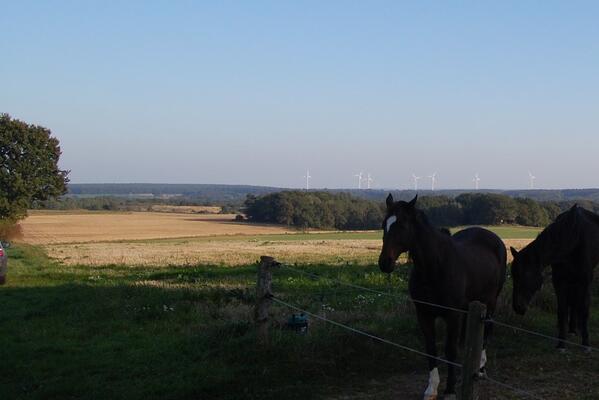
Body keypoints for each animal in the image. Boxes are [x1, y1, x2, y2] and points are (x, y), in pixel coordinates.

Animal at [380, 195, 506, 400]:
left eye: (403, 226)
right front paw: (431, 388)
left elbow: (450, 350)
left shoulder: (452, 315)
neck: (434, 268)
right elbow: (431, 349)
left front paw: (450, 389)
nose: (385, 263)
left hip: (490, 302)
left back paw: (480, 368)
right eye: (384, 224)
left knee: (487, 329)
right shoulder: (424, 314)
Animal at [510, 205, 599, 352]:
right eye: (513, 276)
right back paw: (572, 329)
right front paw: (561, 343)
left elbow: (584, 309)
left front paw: (586, 343)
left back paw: (576, 329)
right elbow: (562, 310)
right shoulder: (559, 281)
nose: (518, 307)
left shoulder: (585, 281)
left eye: (526, 274)